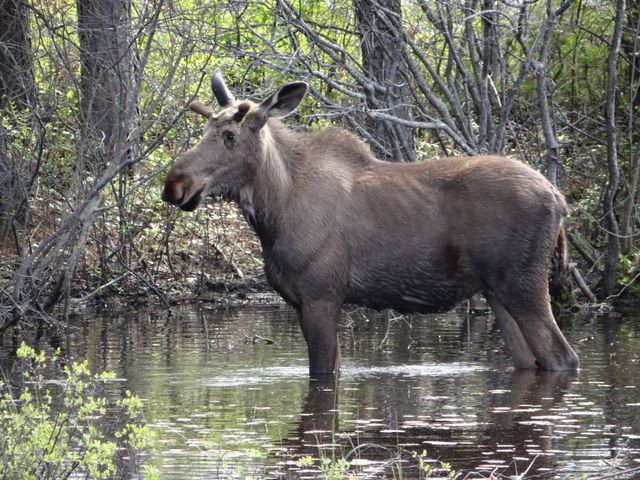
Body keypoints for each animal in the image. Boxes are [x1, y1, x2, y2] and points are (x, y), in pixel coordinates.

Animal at [161, 72, 580, 376]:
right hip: (497, 292)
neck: (273, 210)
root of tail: (559, 200)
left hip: (523, 284)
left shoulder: (322, 295)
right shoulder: (299, 300)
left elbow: (324, 373)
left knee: (564, 358)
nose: (174, 184)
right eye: (205, 130)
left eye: (230, 136)